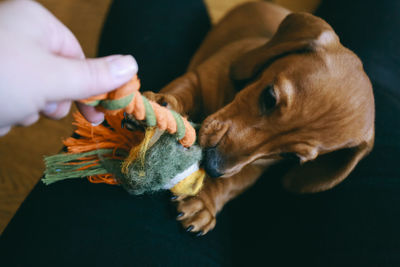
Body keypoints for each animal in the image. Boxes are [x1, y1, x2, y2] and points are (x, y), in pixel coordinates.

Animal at [145, 2, 376, 237]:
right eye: (269, 98)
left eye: (292, 156)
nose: (212, 167)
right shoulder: (199, 79)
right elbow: (184, 92)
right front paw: (164, 106)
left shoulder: (256, 165)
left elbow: (233, 182)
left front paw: (204, 200)